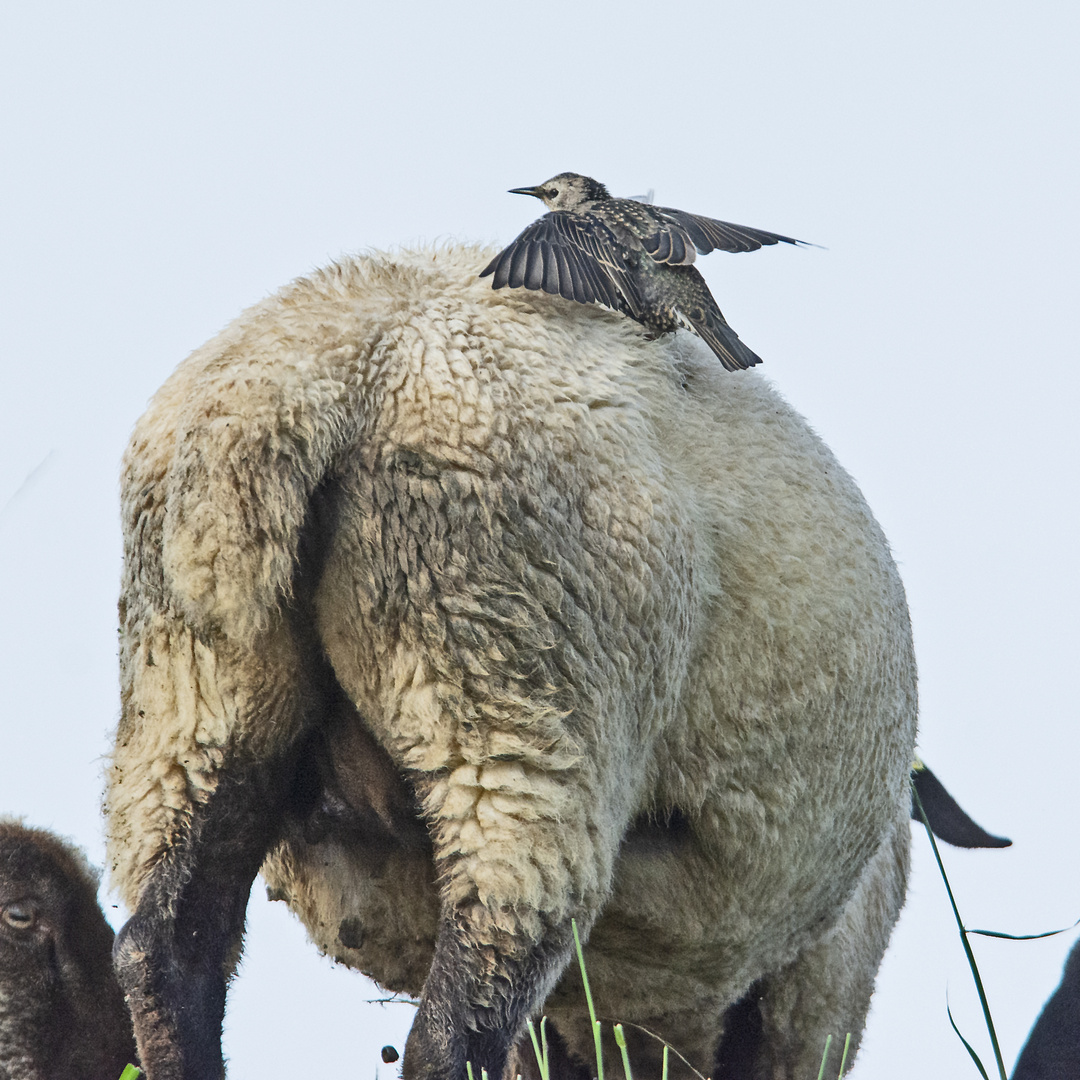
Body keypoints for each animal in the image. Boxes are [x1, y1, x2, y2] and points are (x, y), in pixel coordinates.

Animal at [105, 245, 920, 1080]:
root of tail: (308, 378)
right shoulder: (817, 991)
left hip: (198, 688)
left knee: (165, 948)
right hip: (513, 692)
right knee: (460, 1019)